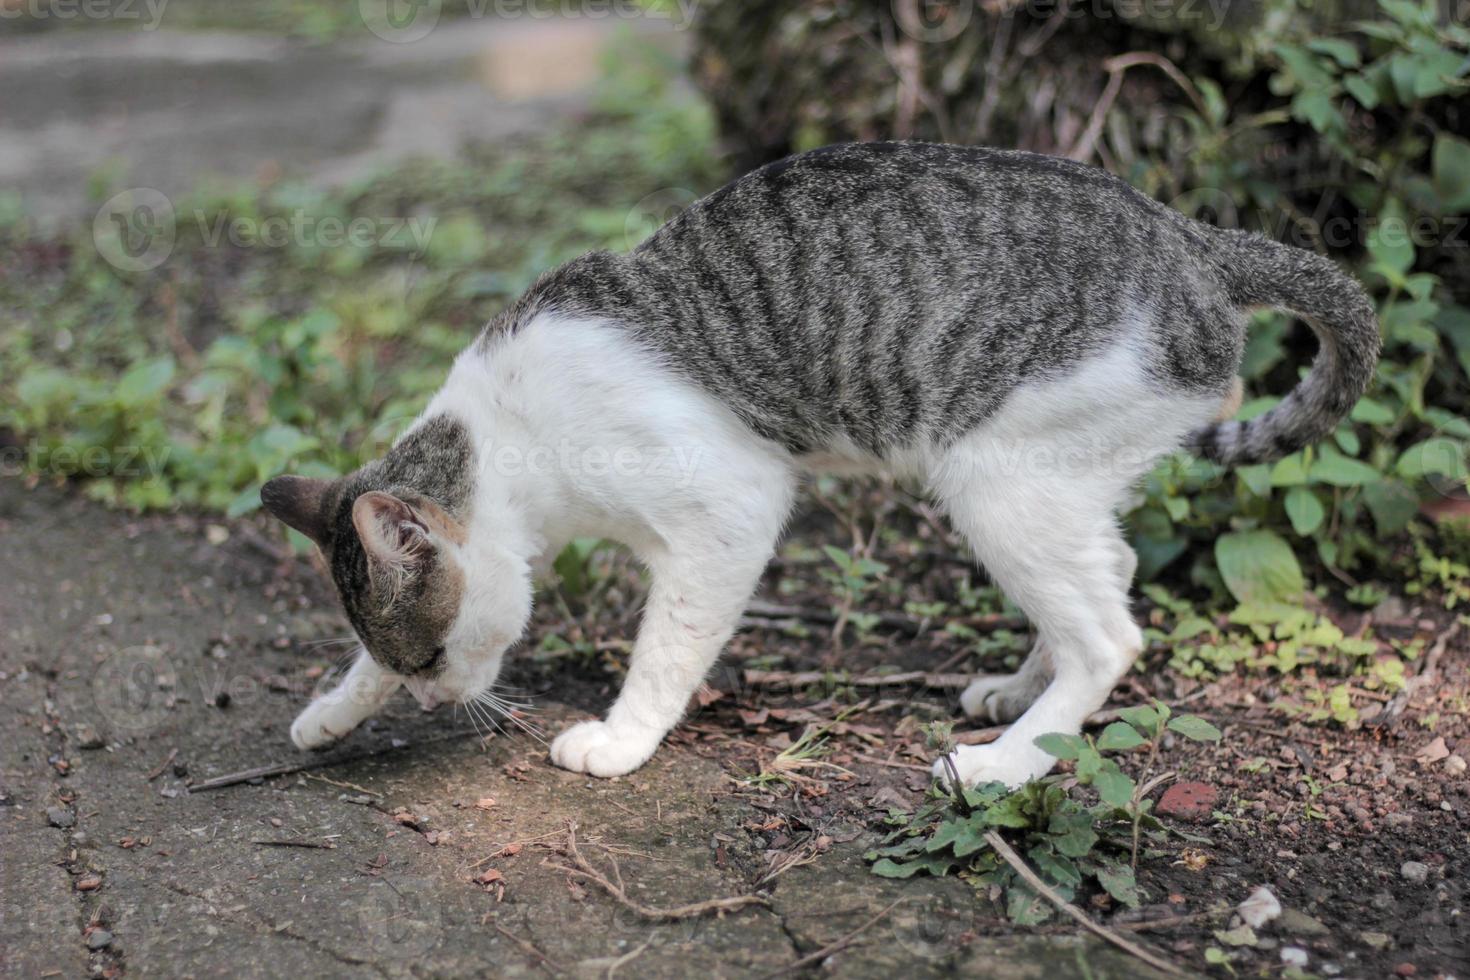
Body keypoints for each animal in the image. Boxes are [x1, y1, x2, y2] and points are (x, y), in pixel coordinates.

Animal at [264, 139, 1375, 787]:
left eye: (431, 658)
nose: (431, 701)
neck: (511, 431)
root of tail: (1191, 238)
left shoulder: (731, 507)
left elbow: (665, 651)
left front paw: (619, 739)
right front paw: (334, 709)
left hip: (994, 476)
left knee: (1110, 636)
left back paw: (1008, 762)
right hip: (1056, 484)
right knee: (1115, 575)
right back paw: (1018, 692)